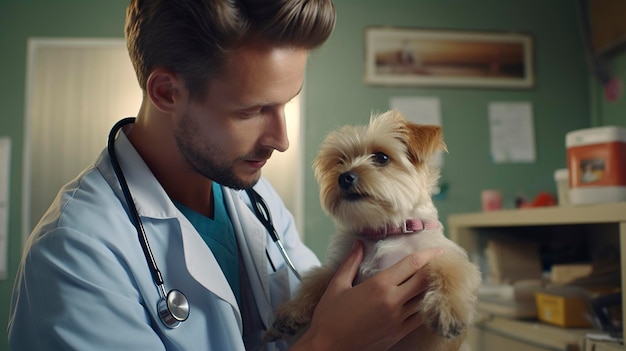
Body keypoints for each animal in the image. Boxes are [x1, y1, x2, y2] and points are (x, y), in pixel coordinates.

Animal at [266, 110, 480, 351]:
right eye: (340, 161)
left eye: (382, 157)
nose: (344, 177)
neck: (385, 231)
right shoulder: (339, 266)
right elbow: (316, 280)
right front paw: (291, 311)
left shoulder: (440, 254)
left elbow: (452, 271)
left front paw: (448, 311)